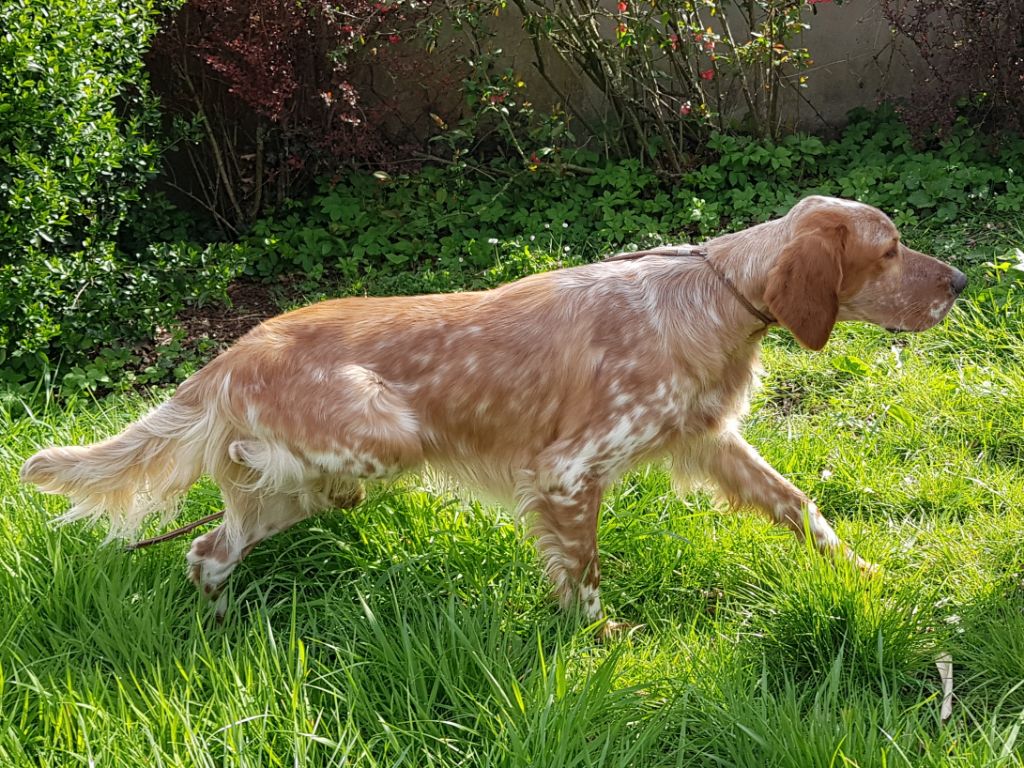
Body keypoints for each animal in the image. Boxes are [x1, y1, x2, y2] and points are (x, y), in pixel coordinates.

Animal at [21, 196, 966, 629]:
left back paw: (221, 621)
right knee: (230, 517)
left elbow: (801, 507)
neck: (713, 296)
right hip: (375, 443)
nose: (961, 281)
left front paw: (865, 574)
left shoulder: (709, 442)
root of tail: (228, 356)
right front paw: (606, 642)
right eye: (889, 252)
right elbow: (584, 575)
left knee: (209, 550)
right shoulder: (568, 472)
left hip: (320, 487)